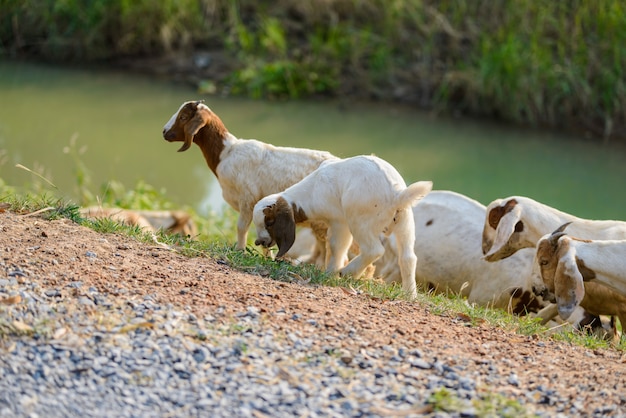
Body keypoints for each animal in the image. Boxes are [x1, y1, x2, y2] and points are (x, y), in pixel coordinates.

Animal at [162, 101, 336, 256]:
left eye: (183, 117)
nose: (164, 132)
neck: (227, 153)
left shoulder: (248, 198)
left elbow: (241, 227)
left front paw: (240, 251)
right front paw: (267, 257)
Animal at [251, 156, 432, 298]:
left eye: (269, 222)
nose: (259, 242)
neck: (312, 190)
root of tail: (396, 195)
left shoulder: (339, 222)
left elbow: (336, 246)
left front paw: (331, 272)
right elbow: (339, 248)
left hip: (359, 221)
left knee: (374, 250)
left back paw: (348, 272)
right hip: (405, 222)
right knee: (408, 258)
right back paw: (410, 294)